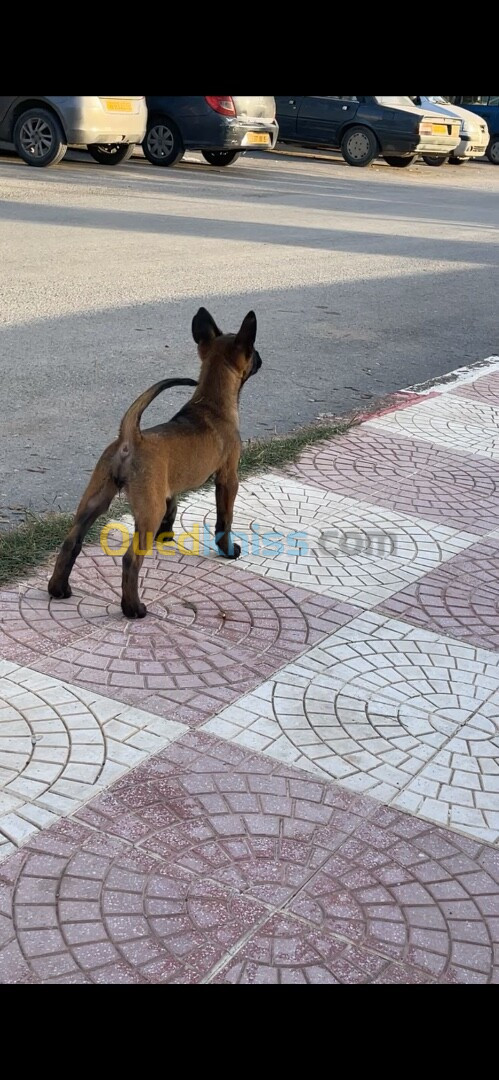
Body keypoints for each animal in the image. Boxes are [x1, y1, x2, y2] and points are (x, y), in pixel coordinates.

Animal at [48, 308, 263, 622]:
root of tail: (130, 437)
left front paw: (167, 535)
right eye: (253, 350)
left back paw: (58, 588)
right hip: (147, 511)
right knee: (130, 560)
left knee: (70, 542)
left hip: (95, 500)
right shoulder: (228, 478)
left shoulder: (168, 488)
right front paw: (227, 549)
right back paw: (133, 608)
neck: (211, 404)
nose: (260, 358)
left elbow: (173, 508)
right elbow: (225, 520)